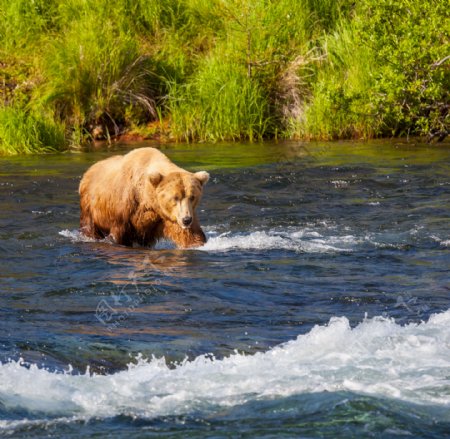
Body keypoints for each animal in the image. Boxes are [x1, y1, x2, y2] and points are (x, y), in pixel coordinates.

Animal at [78, 148, 209, 248]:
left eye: (192, 197)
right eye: (175, 198)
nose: (186, 220)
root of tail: (89, 170)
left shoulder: (167, 216)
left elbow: (189, 235)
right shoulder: (126, 209)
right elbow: (118, 234)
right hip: (90, 206)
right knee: (89, 226)